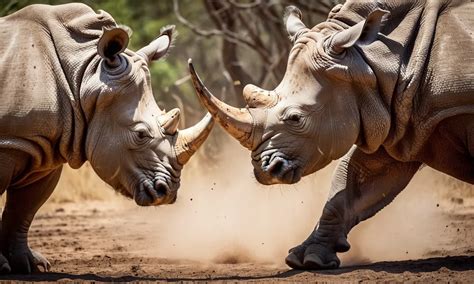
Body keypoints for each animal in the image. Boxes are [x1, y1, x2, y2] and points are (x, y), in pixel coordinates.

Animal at [0, 2, 213, 272]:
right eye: (140, 134)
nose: (167, 192)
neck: (85, 75)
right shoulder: (10, 143)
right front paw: (5, 266)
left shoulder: (42, 147)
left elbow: (24, 208)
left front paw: (32, 266)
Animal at [189, 0, 474, 270]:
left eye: (295, 118)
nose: (264, 170)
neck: (373, 61)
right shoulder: (397, 119)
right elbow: (352, 184)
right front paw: (308, 260)